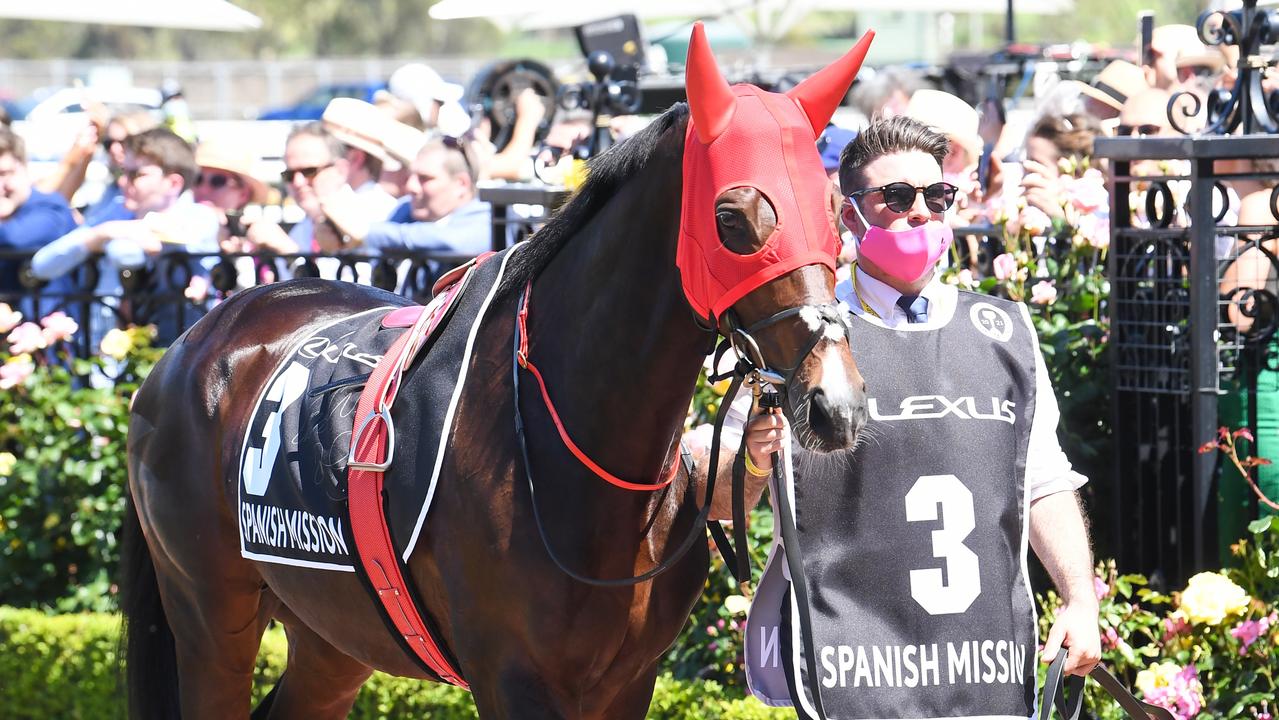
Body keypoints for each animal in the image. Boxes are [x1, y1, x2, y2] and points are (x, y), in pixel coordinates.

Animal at [122, 25, 869, 716]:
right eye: (732, 220)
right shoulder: (513, 677)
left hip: (332, 633)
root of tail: (190, 344)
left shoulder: (628, 680)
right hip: (210, 615)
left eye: (836, 212)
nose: (835, 404)